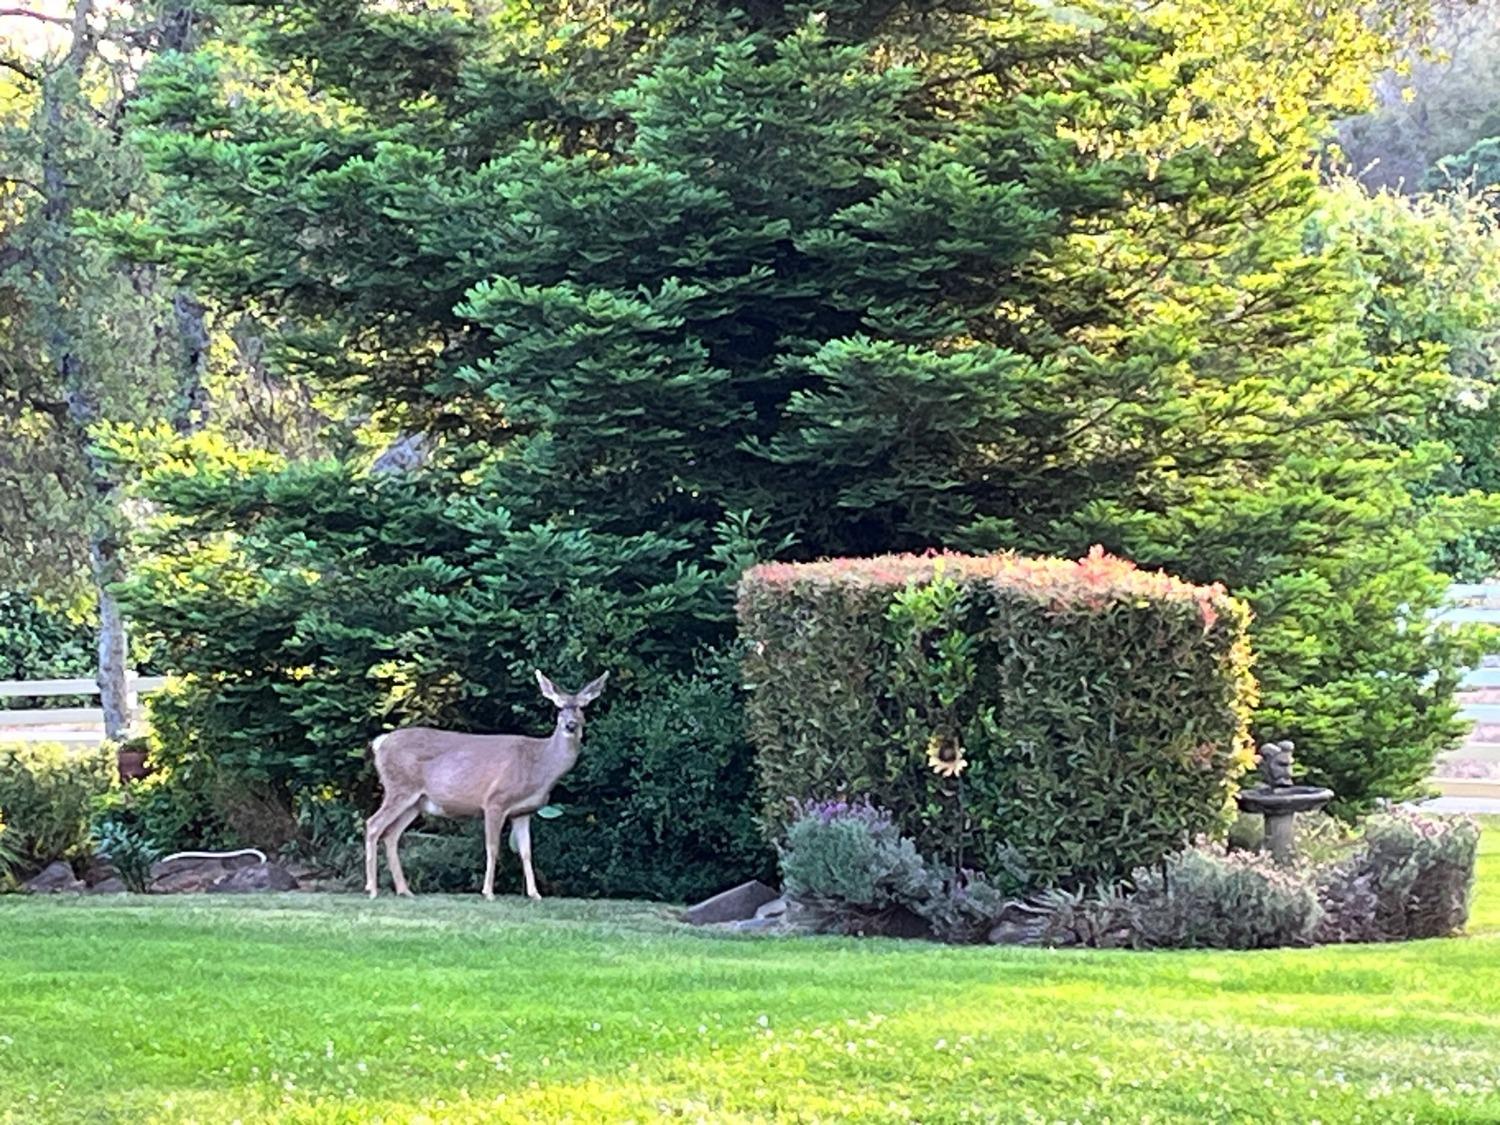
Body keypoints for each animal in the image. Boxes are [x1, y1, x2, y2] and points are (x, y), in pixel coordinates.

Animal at [366, 675, 606, 906]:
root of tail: (380, 743)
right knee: (373, 825)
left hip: (416, 802)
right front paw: (488, 892)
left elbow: (526, 852)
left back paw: (404, 890)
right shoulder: (495, 801)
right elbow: (493, 847)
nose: (570, 725)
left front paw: (535, 894)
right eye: (559, 707)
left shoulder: (523, 811)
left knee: (391, 834)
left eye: (582, 707)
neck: (540, 765)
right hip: (399, 787)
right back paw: (372, 889)